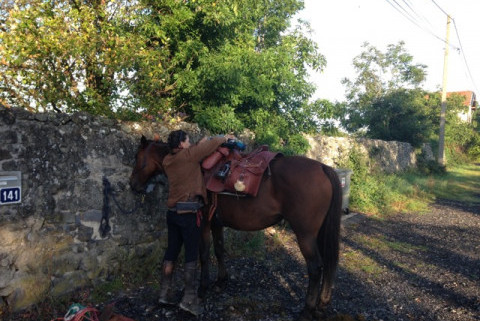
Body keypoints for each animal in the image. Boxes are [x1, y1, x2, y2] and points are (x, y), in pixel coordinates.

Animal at [129, 136, 344, 320]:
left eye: (137, 158)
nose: (132, 185)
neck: (198, 168)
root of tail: (323, 167)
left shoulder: (204, 223)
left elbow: (204, 254)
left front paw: (203, 288)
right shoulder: (216, 223)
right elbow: (219, 250)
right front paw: (221, 281)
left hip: (305, 235)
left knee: (315, 267)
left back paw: (307, 310)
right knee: (327, 264)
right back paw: (321, 305)